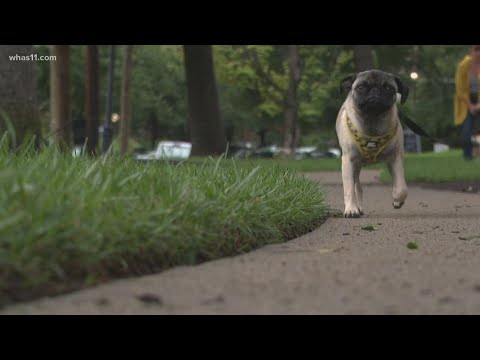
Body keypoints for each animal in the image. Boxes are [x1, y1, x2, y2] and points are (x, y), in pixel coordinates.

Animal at [338, 69, 408, 218]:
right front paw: (351, 209)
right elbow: (349, 189)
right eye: (361, 87)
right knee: (357, 187)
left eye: (388, 88)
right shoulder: (348, 161)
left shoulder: (395, 158)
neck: (373, 120)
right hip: (355, 167)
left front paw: (397, 200)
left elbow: (401, 187)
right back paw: (357, 207)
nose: (375, 90)